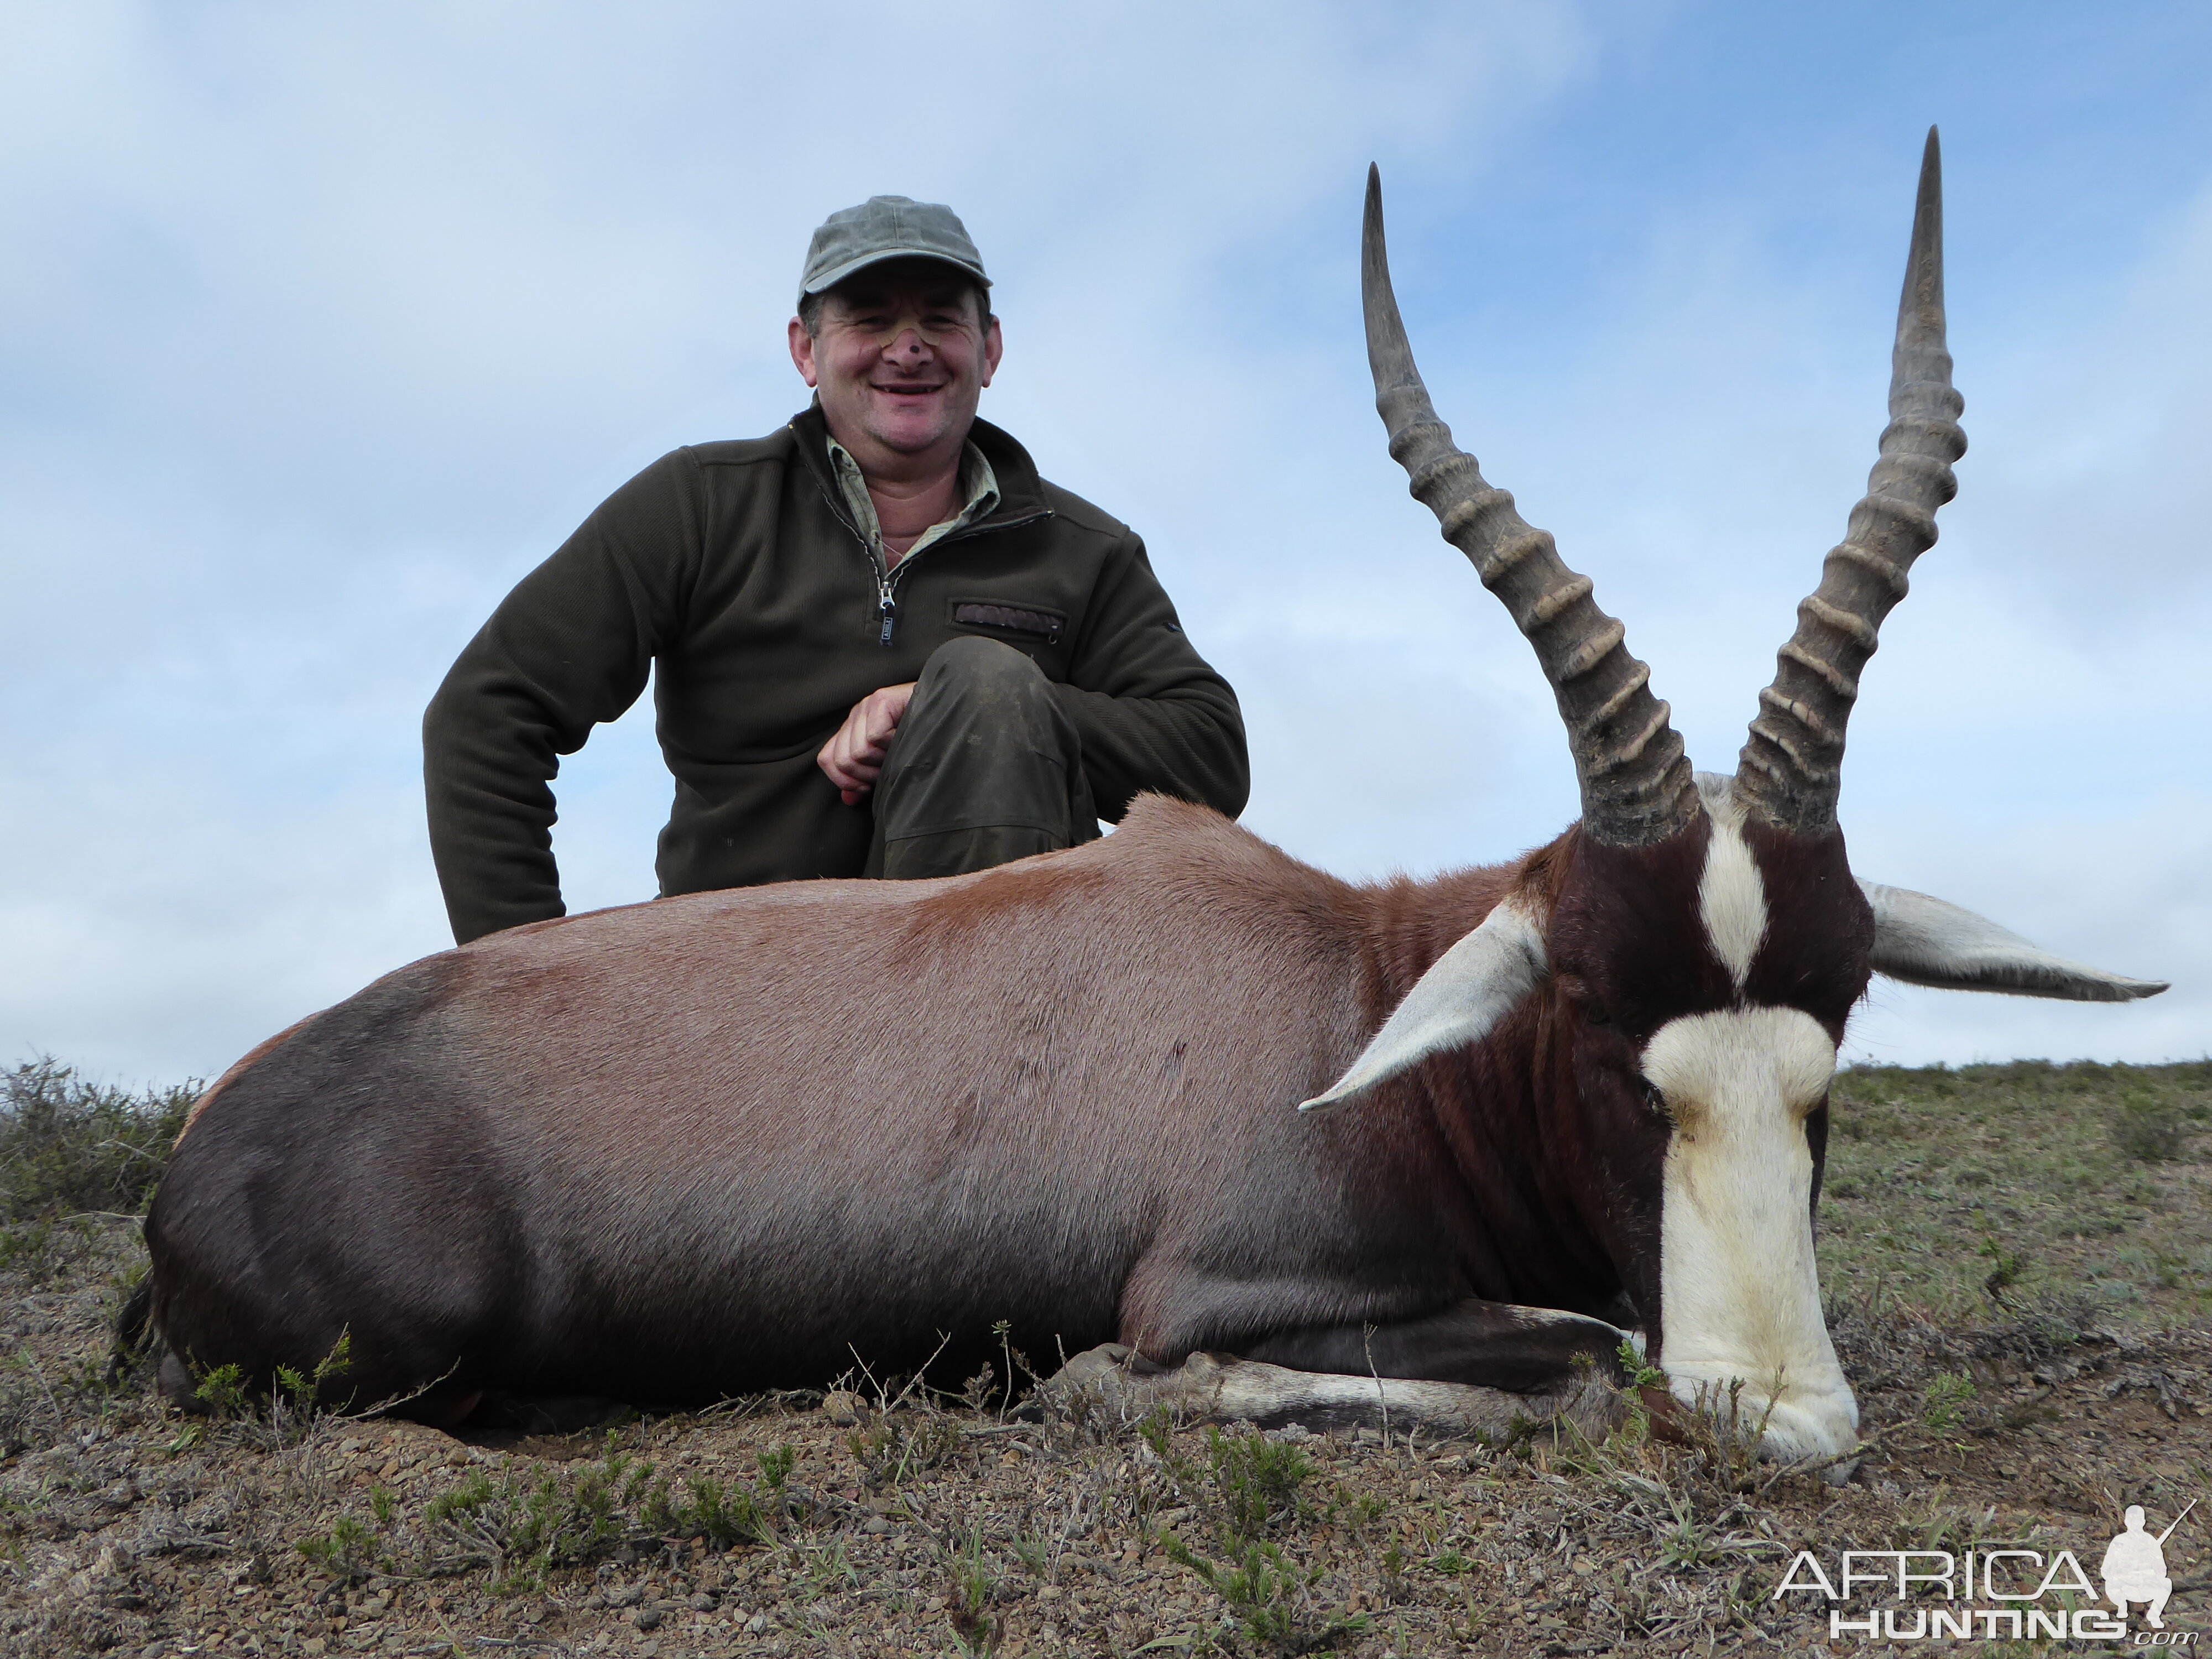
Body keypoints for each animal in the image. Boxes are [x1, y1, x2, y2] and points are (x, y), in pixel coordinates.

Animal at [134, 133, 2159, 1469]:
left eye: (1839, 1031)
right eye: (1600, 1028)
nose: (1786, 1421)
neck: (1350, 993)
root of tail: (204, 1137)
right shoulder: (1217, 1293)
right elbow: (1563, 1349)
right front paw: (1083, 1391)